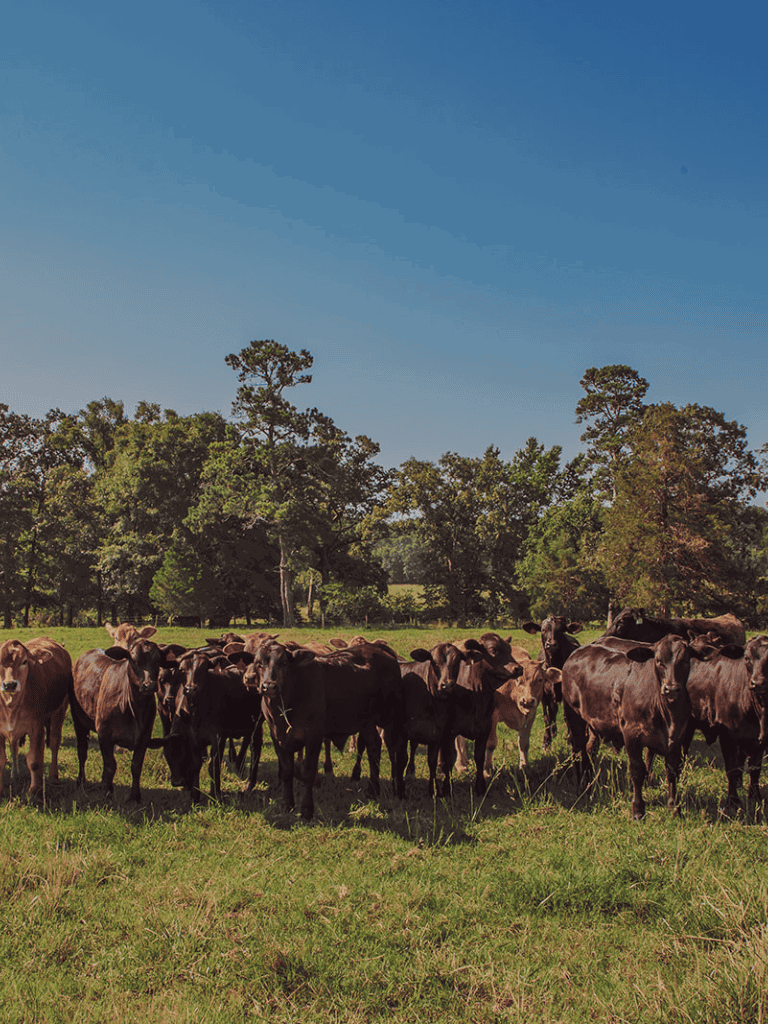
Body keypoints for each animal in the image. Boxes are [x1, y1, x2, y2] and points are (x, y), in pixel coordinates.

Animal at [0, 637, 71, 800]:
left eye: (24, 661)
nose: (10, 684)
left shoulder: (36, 728)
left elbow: (34, 761)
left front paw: (34, 790)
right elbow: (1, 761)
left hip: (60, 711)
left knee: (54, 743)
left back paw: (53, 776)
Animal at [70, 638, 168, 802]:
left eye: (158, 661)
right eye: (134, 660)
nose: (149, 685)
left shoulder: (144, 737)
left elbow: (136, 766)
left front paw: (135, 796)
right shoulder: (104, 733)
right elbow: (111, 765)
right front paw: (108, 792)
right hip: (78, 720)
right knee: (82, 751)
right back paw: (81, 781)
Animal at [522, 617, 583, 750]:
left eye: (561, 630)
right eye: (543, 630)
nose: (551, 644)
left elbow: (567, 717)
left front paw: (570, 740)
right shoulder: (543, 696)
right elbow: (547, 717)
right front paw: (546, 741)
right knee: (553, 711)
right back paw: (553, 731)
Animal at [561, 635, 715, 818]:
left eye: (685, 660)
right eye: (658, 661)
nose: (671, 689)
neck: (667, 714)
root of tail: (578, 652)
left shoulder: (677, 739)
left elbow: (672, 772)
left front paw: (674, 807)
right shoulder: (631, 735)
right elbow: (637, 771)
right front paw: (638, 809)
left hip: (594, 722)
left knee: (590, 749)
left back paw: (589, 782)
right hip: (574, 717)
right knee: (577, 748)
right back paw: (581, 785)